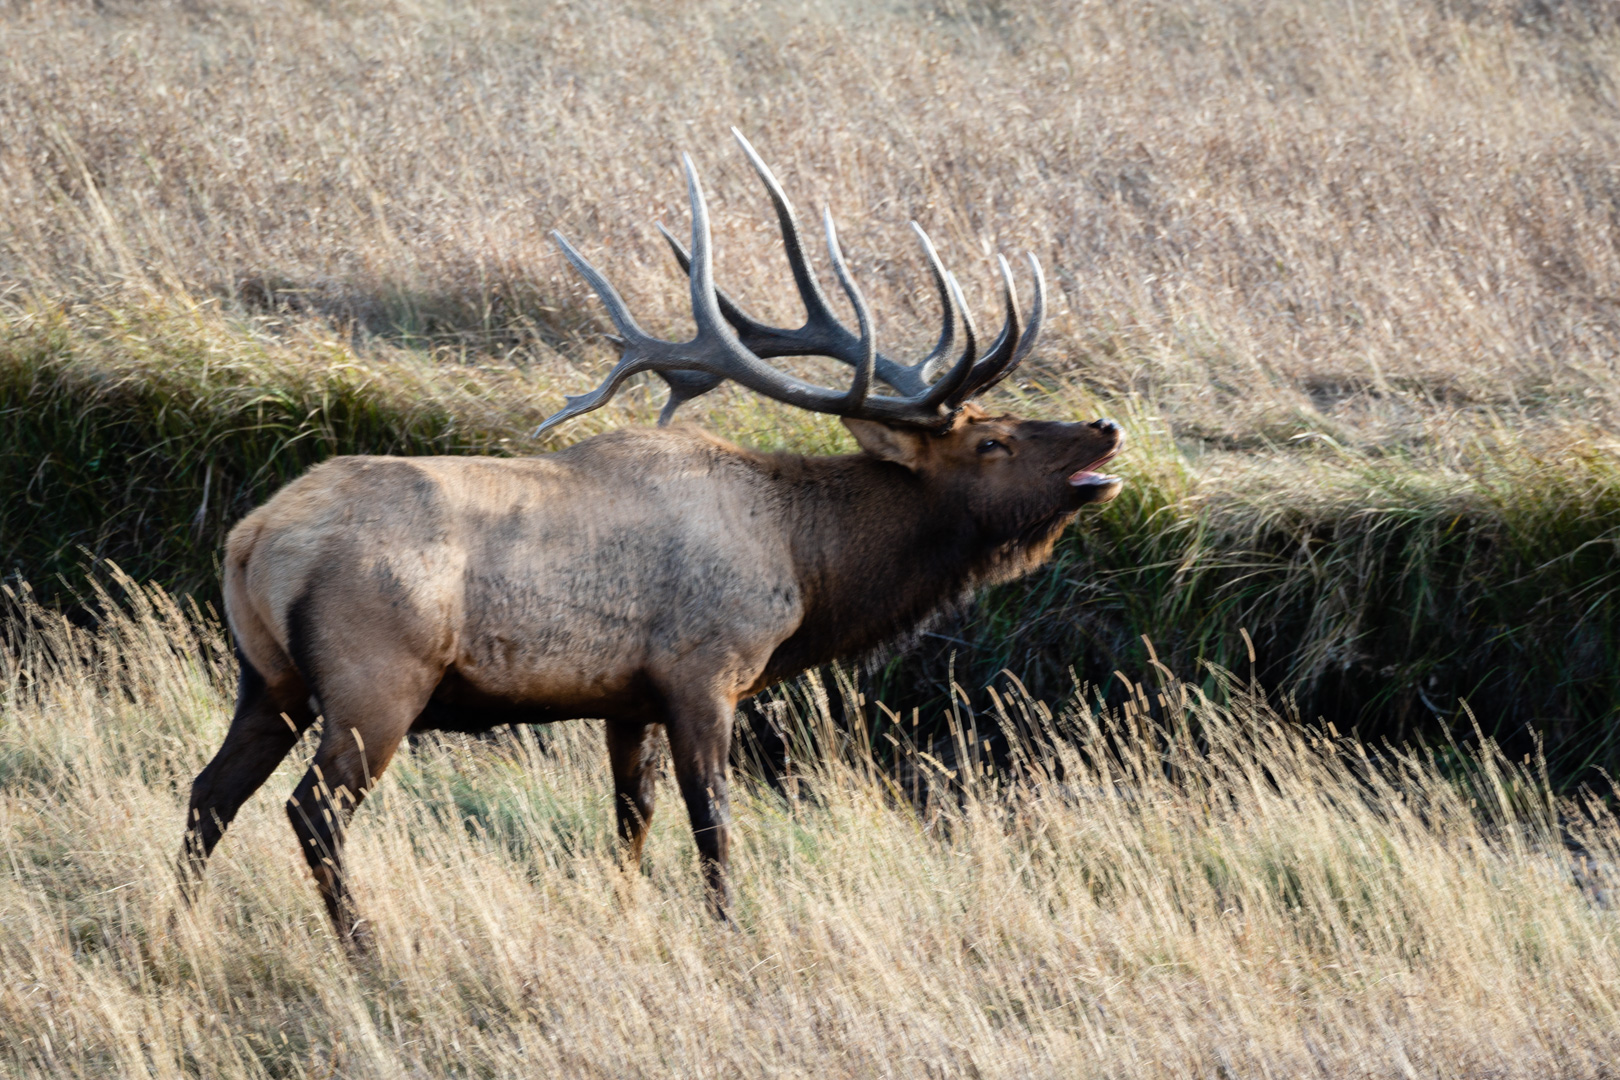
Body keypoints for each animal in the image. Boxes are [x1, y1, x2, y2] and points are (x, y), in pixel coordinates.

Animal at [174, 132, 1114, 945]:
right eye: (991, 442)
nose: (1104, 429)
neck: (808, 567)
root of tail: (252, 540)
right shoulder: (704, 671)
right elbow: (713, 824)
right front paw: (729, 931)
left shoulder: (627, 698)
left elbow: (632, 819)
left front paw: (622, 913)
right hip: (375, 679)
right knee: (311, 811)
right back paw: (363, 946)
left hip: (268, 680)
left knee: (210, 792)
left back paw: (177, 923)